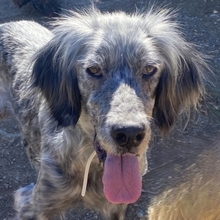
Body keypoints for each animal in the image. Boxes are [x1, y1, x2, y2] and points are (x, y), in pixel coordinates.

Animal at [0, 7, 206, 220]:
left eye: (149, 69)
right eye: (94, 69)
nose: (129, 133)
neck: (90, 164)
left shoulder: (116, 208)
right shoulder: (33, 206)